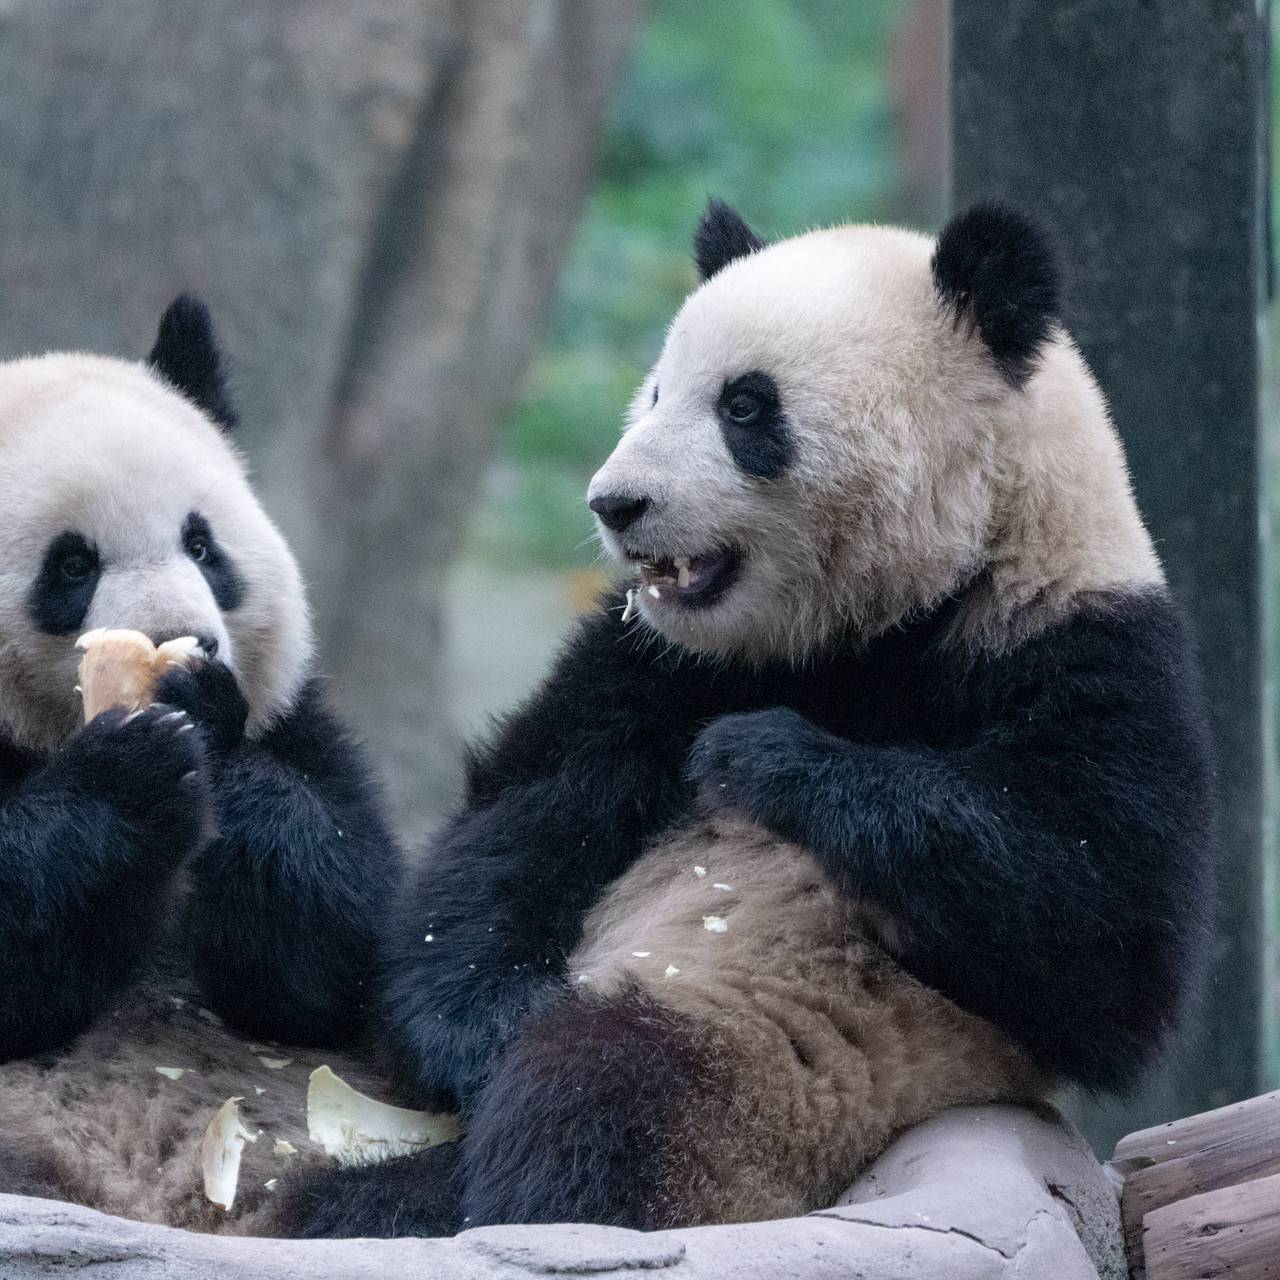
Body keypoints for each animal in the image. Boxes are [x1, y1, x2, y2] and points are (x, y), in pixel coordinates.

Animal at [0, 296, 399, 1228]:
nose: (184, 637)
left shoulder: (300, 724)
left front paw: (202, 714)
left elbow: (340, 953)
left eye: (203, 544)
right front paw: (129, 778)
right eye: (72, 564)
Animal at [275, 202, 1213, 1239]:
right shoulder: (653, 660)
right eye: (654, 393)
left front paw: (759, 754)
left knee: (604, 1100)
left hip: (774, 1074)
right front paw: (486, 1027)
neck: (882, 623)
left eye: (746, 407)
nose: (616, 503)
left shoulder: (1083, 648)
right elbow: (516, 823)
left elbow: (1101, 942)